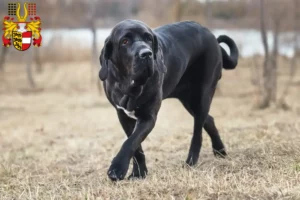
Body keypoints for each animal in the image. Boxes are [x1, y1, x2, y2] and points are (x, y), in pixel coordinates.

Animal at [99, 19, 238, 180]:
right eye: (125, 41)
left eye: (148, 38)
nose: (146, 54)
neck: (130, 85)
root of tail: (212, 36)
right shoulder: (123, 115)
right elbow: (135, 145)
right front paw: (139, 173)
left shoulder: (148, 117)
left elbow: (131, 142)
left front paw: (117, 169)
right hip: (189, 101)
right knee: (209, 120)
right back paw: (219, 150)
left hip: (203, 95)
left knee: (197, 133)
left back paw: (191, 161)